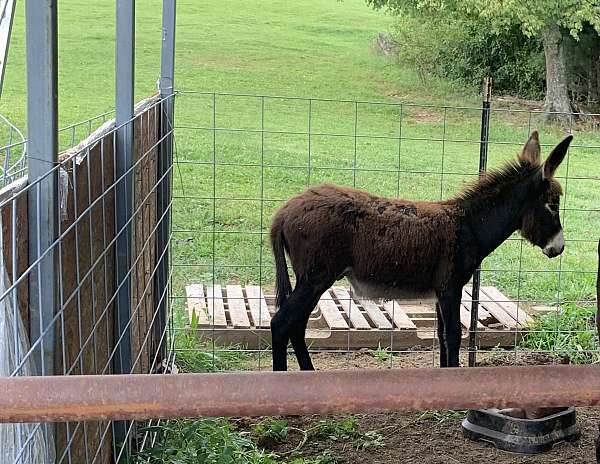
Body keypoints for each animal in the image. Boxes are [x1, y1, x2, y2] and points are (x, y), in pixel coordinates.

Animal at [270, 132, 572, 372]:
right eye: (552, 205)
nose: (559, 248)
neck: (469, 225)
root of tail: (284, 212)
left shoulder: (441, 290)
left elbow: (442, 334)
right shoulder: (450, 286)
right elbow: (454, 334)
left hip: (313, 278)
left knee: (296, 325)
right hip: (317, 277)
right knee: (281, 323)